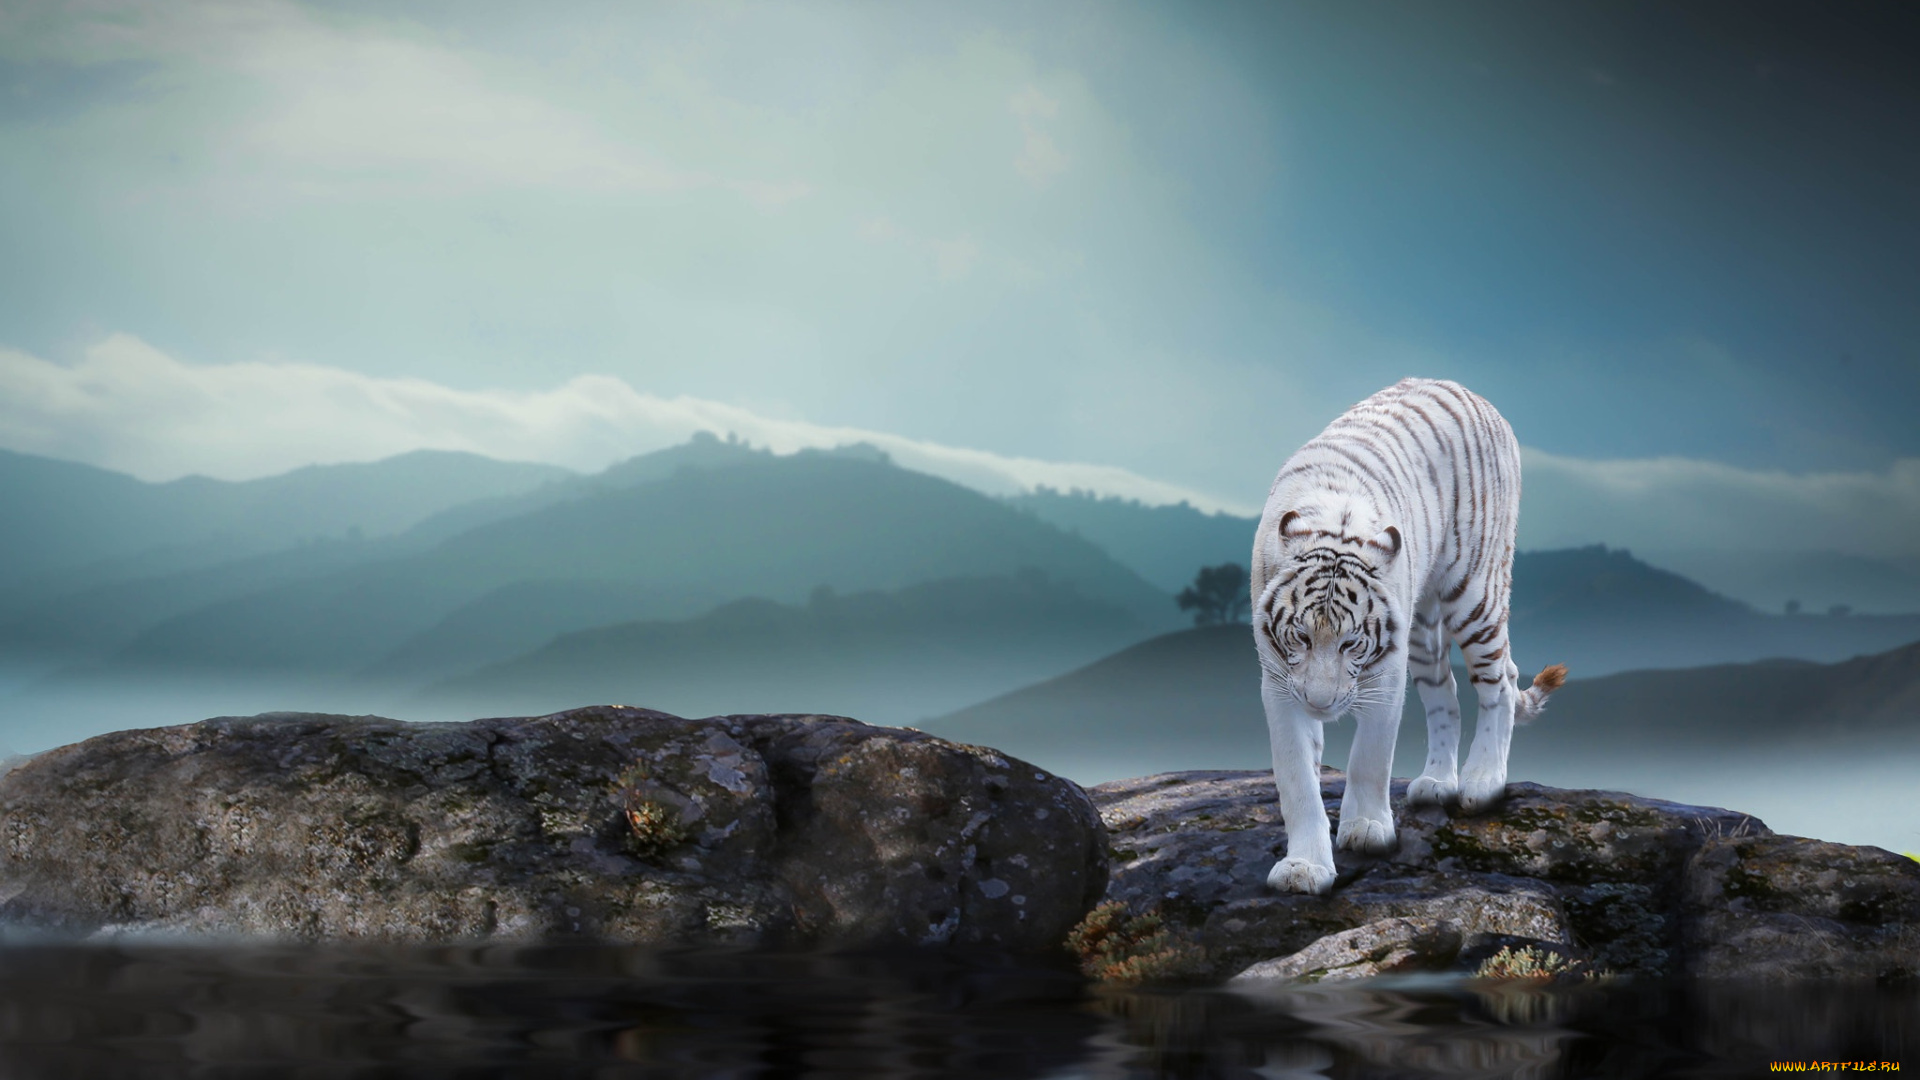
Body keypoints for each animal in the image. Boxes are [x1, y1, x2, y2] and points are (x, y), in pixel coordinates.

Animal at [1251, 377, 1568, 896]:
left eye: (1351, 643)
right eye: (1299, 637)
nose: (1321, 703)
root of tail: (1472, 393)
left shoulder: (1385, 673)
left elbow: (1369, 758)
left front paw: (1366, 829)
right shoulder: (1279, 682)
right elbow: (1298, 779)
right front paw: (1304, 867)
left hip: (1474, 592)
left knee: (1500, 680)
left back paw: (1481, 782)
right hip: (1422, 628)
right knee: (1447, 693)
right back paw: (1437, 783)